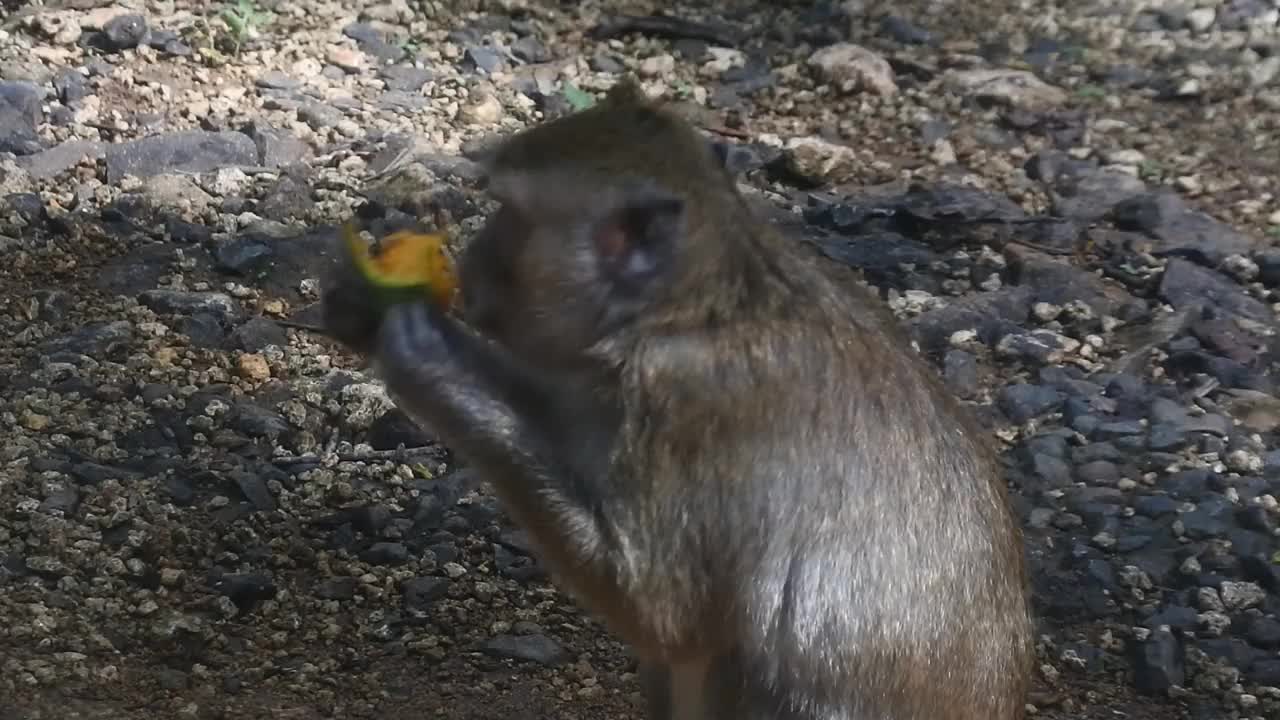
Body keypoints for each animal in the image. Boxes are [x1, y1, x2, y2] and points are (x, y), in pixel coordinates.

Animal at [320, 79, 1029, 717]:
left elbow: (664, 611)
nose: (470, 259)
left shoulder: (688, 404)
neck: (691, 309)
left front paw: (424, 353)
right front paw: (362, 306)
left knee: (735, 662)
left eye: (513, 219)